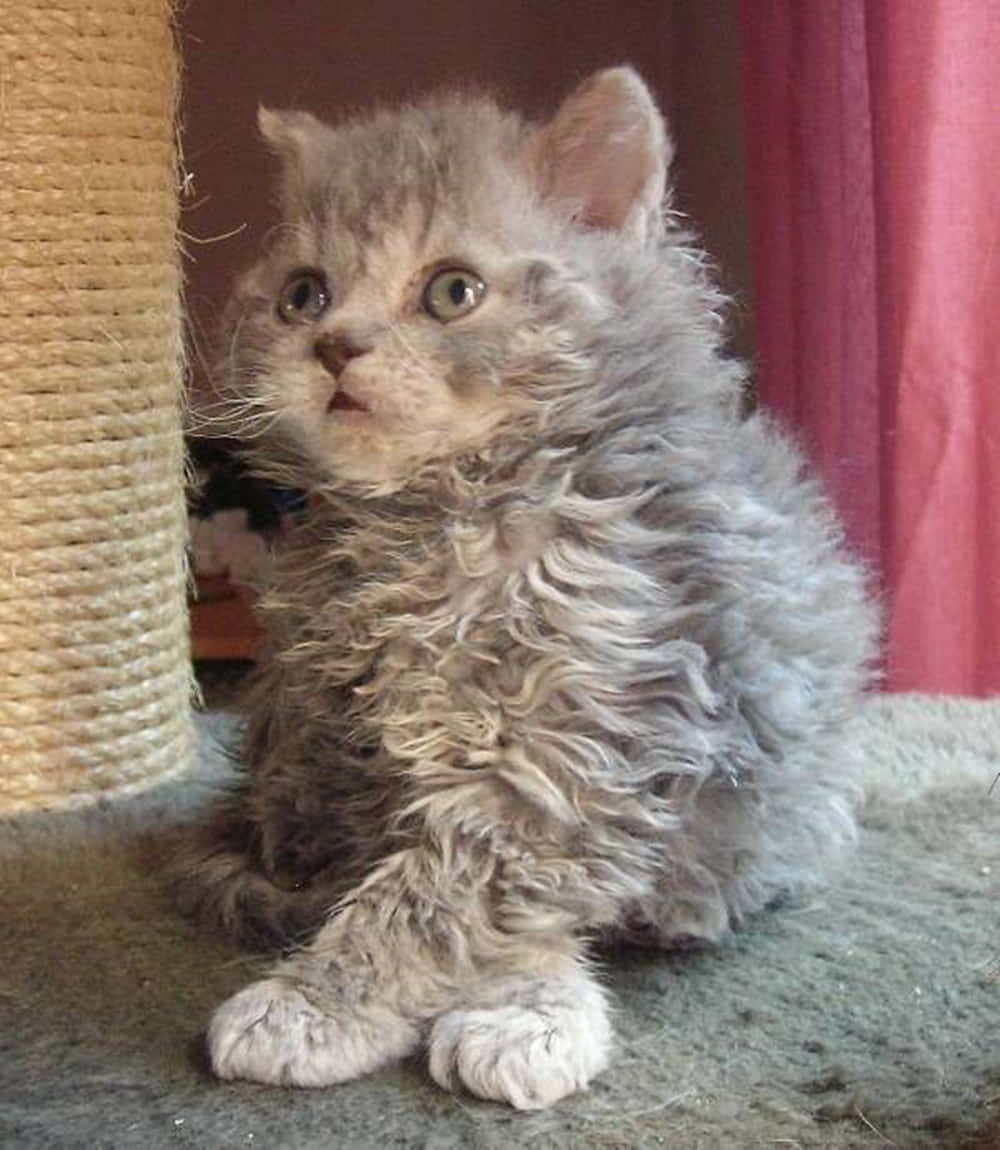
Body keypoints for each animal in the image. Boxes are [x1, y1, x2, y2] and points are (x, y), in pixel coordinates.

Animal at [178, 67, 878, 1108]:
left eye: (452, 291)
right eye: (304, 295)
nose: (335, 346)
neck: (446, 522)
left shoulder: (593, 726)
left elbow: (455, 892)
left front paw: (328, 1006)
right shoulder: (353, 737)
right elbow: (438, 881)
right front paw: (504, 996)